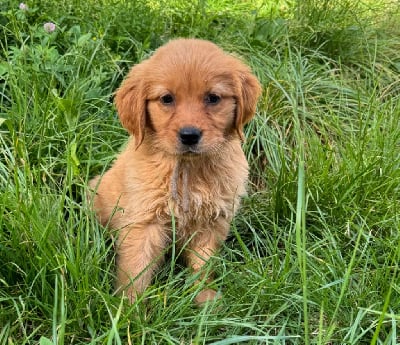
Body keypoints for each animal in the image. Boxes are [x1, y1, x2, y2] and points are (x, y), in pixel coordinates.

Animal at [89, 38, 260, 304]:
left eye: (213, 98)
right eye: (166, 99)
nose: (189, 135)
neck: (187, 169)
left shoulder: (211, 223)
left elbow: (203, 265)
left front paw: (205, 299)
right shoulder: (144, 222)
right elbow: (136, 271)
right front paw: (128, 308)